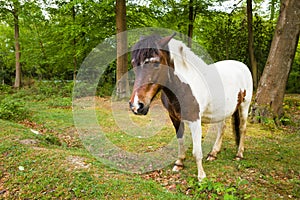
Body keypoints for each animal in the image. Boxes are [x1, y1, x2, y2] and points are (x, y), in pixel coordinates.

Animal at [127, 33, 252, 180]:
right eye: (133, 63)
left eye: (156, 63)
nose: (136, 105)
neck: (184, 85)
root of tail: (242, 66)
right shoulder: (174, 118)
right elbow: (180, 140)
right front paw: (179, 163)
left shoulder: (195, 120)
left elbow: (196, 151)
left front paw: (201, 177)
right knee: (222, 128)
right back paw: (213, 154)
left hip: (244, 106)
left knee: (242, 129)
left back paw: (239, 155)